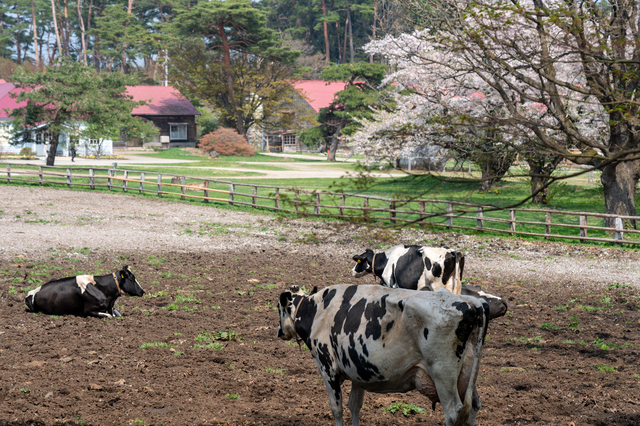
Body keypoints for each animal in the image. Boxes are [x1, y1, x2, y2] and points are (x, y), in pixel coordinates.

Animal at [276, 282, 490, 426]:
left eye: (279, 308)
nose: (279, 331)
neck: (318, 310)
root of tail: (472, 303)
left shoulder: (328, 368)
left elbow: (337, 408)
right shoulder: (357, 369)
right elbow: (354, 405)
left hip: (443, 374)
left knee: (453, 413)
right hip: (468, 375)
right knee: (474, 407)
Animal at [352, 246, 508, 320]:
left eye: (359, 262)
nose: (352, 271)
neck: (387, 260)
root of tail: (452, 252)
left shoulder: (393, 285)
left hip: (439, 287)